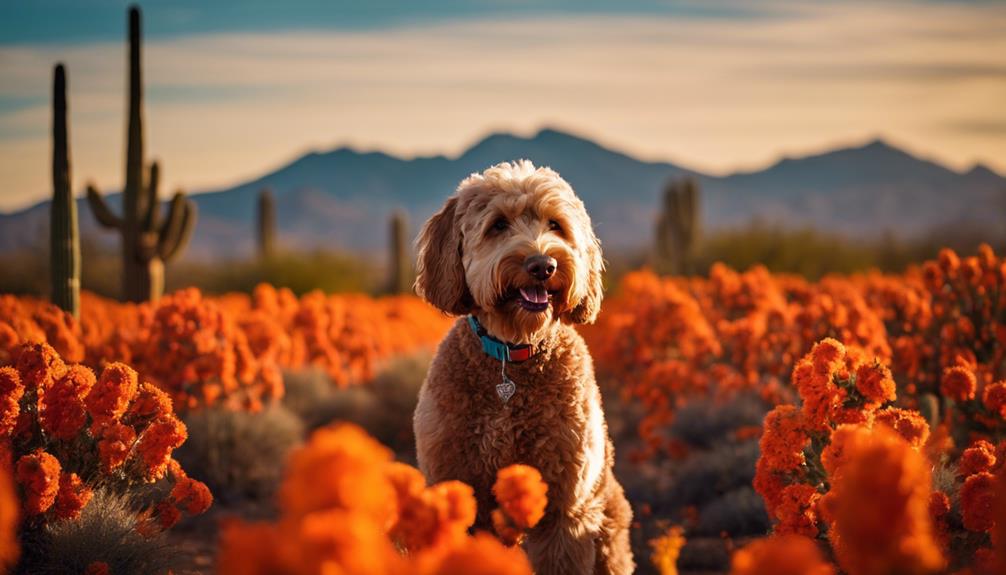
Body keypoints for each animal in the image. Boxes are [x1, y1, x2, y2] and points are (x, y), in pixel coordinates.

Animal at [412, 159, 631, 570]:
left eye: (555, 225)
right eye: (498, 225)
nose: (542, 265)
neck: (511, 359)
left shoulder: (564, 509)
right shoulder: (458, 486)